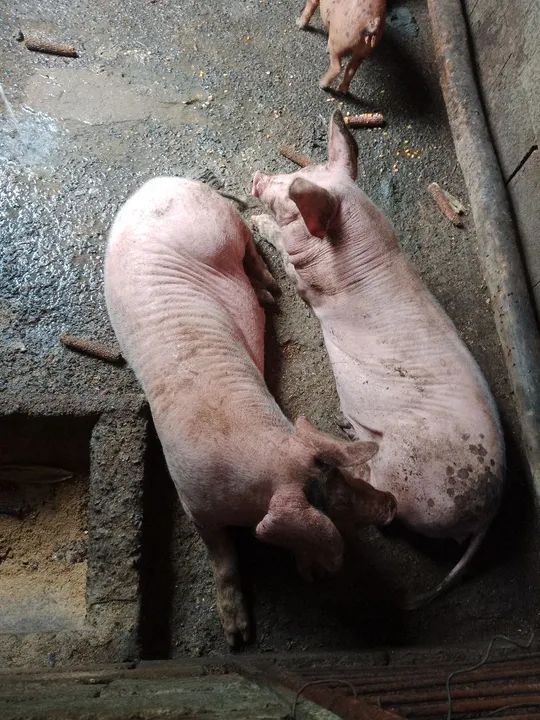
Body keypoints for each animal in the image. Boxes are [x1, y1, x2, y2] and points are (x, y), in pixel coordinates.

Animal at [104, 176, 396, 646]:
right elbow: (222, 560)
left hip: (223, 224)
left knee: (250, 243)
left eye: (350, 478)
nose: (391, 505)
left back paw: (269, 294)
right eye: (333, 509)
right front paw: (237, 638)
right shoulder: (192, 501)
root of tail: (163, 181)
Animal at [252, 111, 505, 607]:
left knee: (383, 507)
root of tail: (487, 512)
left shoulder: (306, 279)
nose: (255, 178)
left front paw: (255, 220)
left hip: (405, 476)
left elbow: (285, 256)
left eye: (291, 197)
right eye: (297, 172)